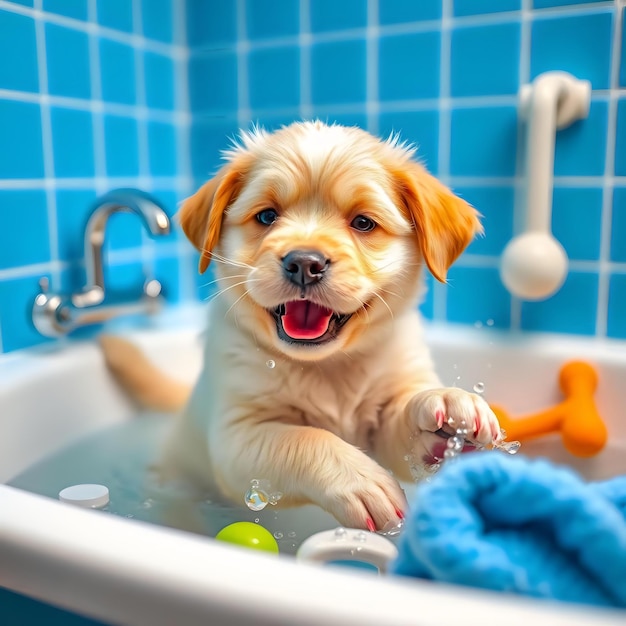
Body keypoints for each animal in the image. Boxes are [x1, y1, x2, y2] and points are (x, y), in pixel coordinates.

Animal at [105, 119, 500, 528]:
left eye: (363, 223)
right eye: (266, 216)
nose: (304, 263)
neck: (327, 366)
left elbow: (405, 420)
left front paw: (447, 406)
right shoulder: (238, 436)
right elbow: (305, 438)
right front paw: (360, 480)